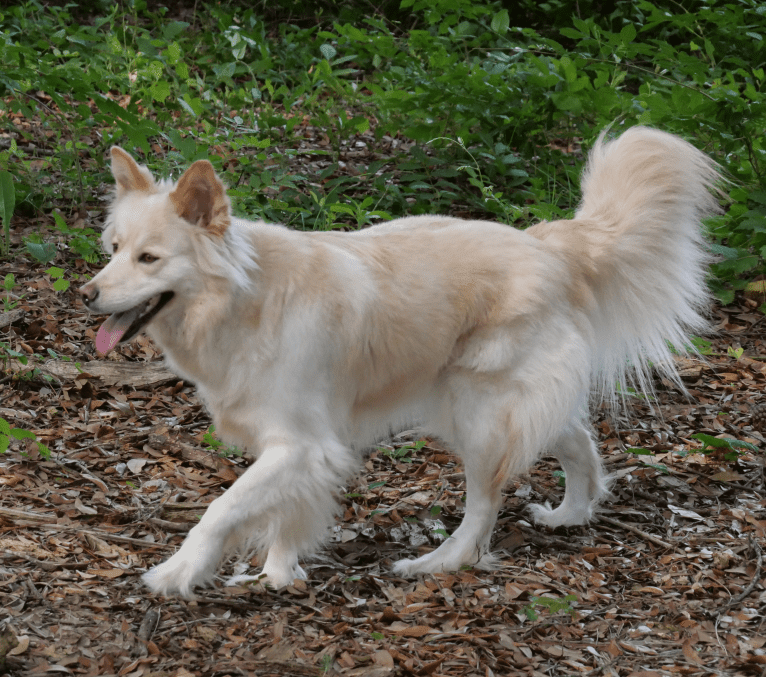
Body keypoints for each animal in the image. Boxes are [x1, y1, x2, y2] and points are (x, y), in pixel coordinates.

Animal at [81, 127, 724, 596]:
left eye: (148, 258)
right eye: (112, 250)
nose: (87, 294)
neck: (247, 299)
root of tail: (546, 244)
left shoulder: (302, 445)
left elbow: (222, 509)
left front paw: (179, 572)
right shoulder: (297, 449)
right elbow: (284, 513)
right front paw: (280, 573)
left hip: (479, 414)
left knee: (485, 504)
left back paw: (438, 563)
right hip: (479, 404)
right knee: (573, 436)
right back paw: (573, 512)